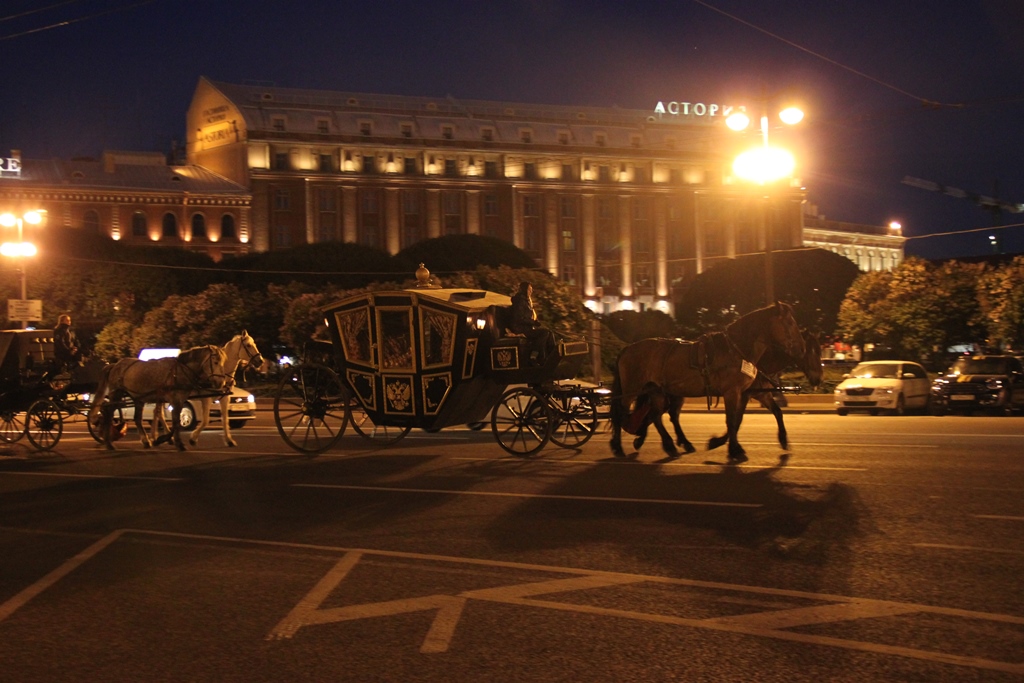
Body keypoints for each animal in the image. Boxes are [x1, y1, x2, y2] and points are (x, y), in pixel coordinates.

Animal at [610, 305, 802, 464]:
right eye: (789, 323)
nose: (799, 348)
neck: (737, 349)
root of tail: (628, 348)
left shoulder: (753, 392)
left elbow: (771, 412)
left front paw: (783, 439)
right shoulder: (732, 392)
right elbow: (732, 420)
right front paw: (733, 449)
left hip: (657, 391)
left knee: (658, 415)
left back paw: (672, 445)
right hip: (631, 389)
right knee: (621, 413)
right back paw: (619, 447)